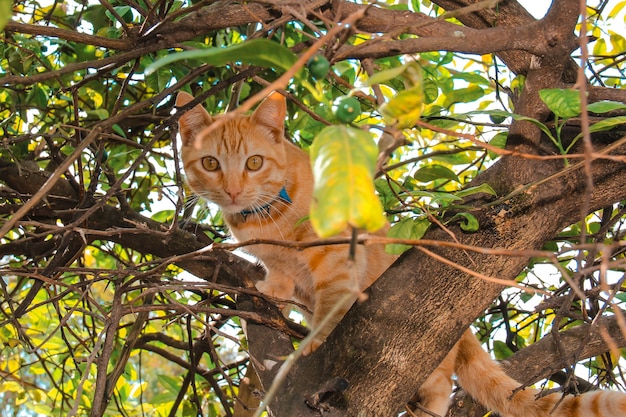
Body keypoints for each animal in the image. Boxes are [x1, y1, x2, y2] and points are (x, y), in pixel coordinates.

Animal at [174, 91, 624, 416]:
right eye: (211, 163)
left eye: (253, 162)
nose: (233, 190)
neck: (265, 220)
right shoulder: (279, 258)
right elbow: (279, 273)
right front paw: (274, 289)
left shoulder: (338, 261)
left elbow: (330, 306)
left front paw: (314, 342)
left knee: (441, 383)